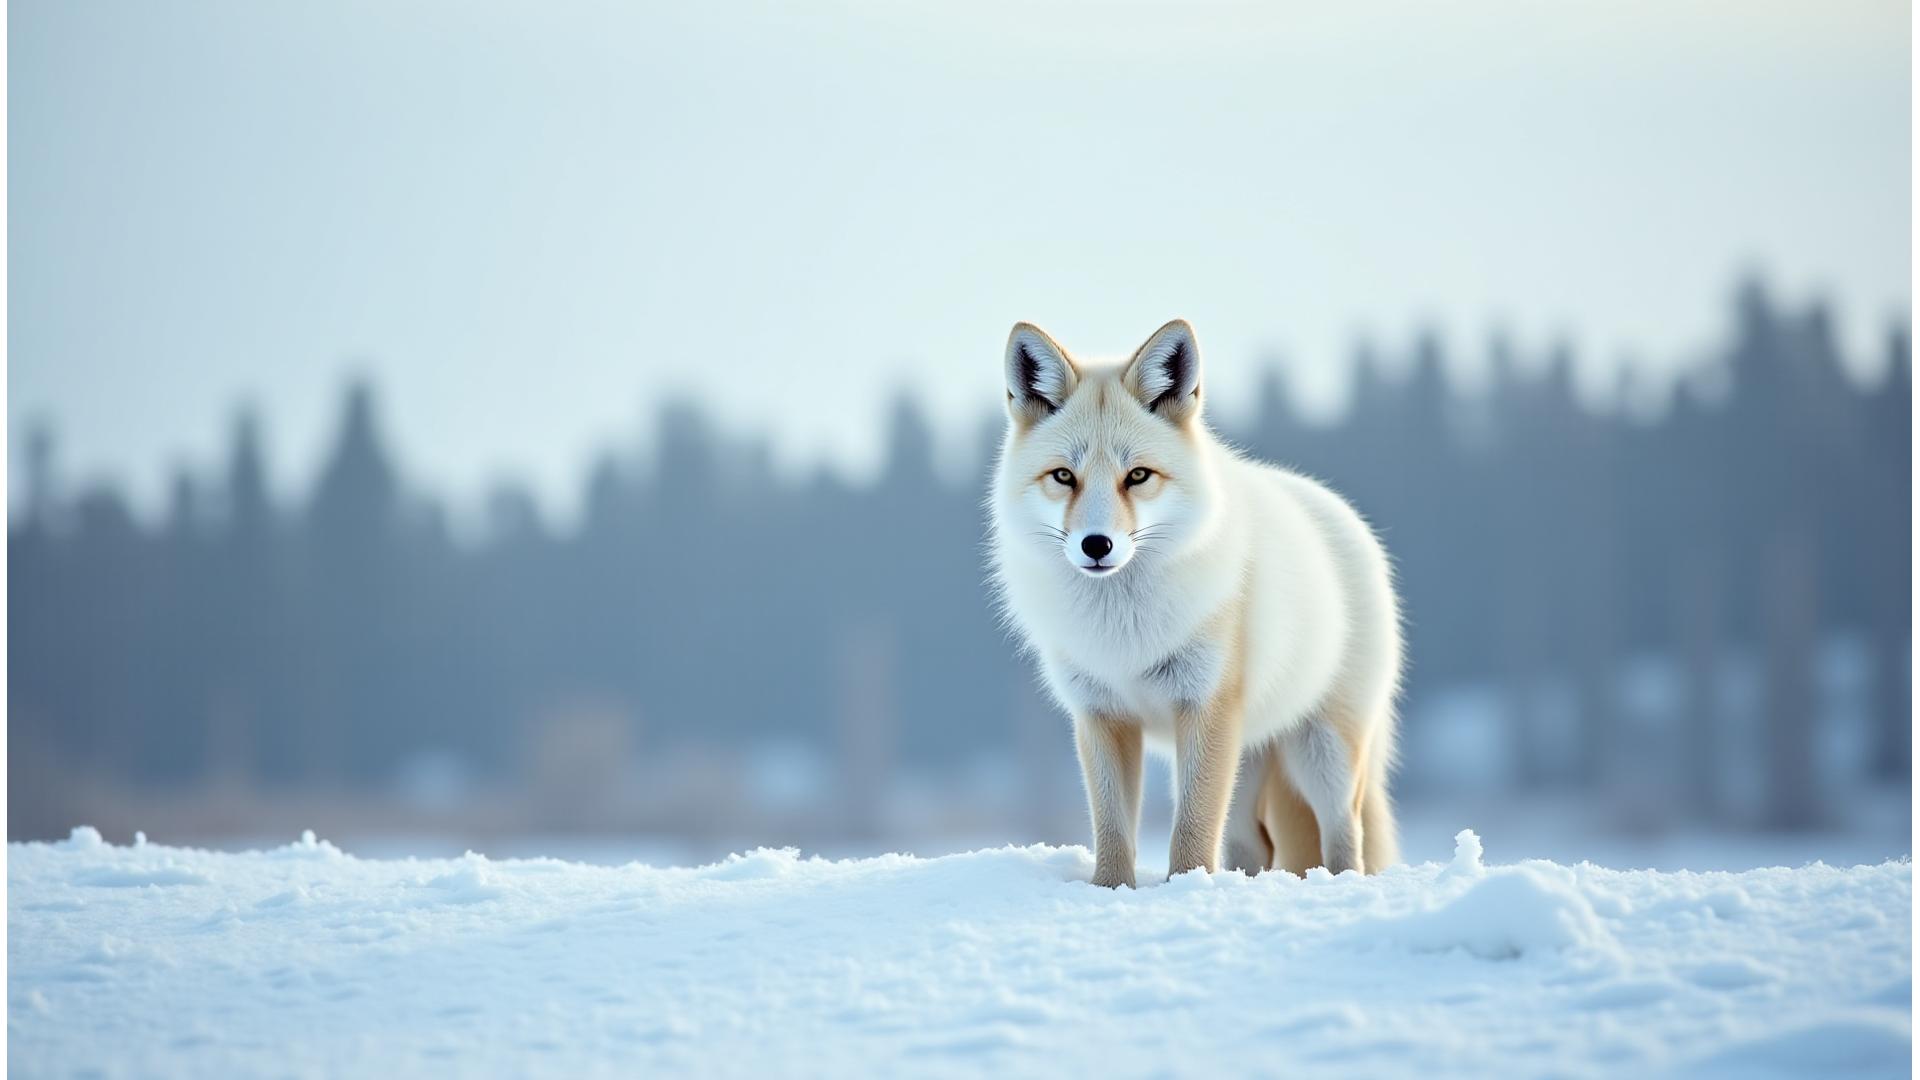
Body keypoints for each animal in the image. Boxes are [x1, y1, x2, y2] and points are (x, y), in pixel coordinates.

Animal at [988, 318, 1404, 888]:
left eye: (1138, 476)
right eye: (1064, 477)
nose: (1096, 545)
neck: (1123, 634)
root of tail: (1339, 510)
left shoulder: (1206, 707)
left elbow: (1192, 829)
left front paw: (1186, 887)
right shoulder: (1100, 713)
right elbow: (1112, 829)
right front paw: (1111, 890)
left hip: (1323, 753)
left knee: (1345, 833)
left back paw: (1339, 884)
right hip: (1251, 762)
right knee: (1253, 845)